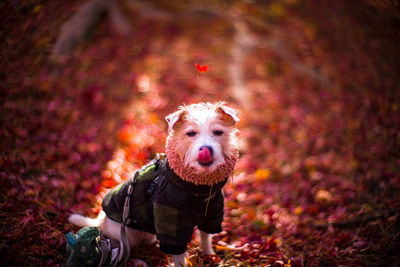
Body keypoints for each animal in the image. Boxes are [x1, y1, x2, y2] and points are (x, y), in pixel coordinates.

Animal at [68, 101, 241, 266]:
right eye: (191, 133)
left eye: (218, 132)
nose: (206, 149)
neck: (198, 190)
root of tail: (101, 221)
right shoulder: (172, 227)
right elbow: (179, 257)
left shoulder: (211, 216)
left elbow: (206, 238)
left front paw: (209, 255)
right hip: (127, 236)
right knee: (123, 250)